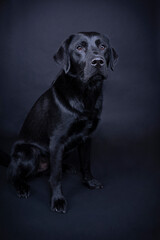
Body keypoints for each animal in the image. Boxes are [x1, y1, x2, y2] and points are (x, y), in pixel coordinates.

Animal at [7, 32, 118, 214]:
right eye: (79, 48)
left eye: (103, 47)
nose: (98, 61)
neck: (85, 94)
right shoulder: (57, 141)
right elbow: (56, 176)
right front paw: (58, 200)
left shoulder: (87, 138)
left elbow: (86, 163)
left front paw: (90, 182)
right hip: (29, 152)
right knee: (13, 175)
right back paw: (21, 186)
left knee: (51, 168)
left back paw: (67, 167)